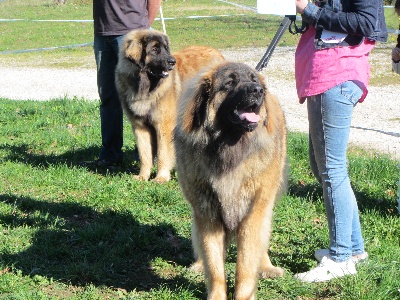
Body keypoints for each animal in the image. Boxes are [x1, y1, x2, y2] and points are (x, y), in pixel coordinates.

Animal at [115, 29, 225, 182]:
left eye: (166, 49)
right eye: (155, 49)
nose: (172, 61)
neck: (145, 87)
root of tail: (218, 54)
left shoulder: (164, 125)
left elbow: (163, 153)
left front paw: (161, 177)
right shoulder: (140, 127)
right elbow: (145, 155)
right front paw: (143, 176)